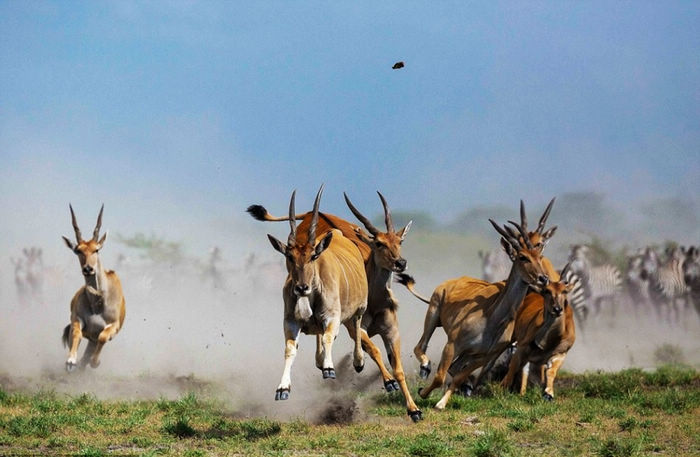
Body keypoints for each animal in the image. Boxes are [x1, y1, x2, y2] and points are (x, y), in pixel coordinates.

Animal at [60, 205, 125, 372]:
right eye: (78, 250)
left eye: (96, 249)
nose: (88, 269)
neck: (98, 301)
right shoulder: (77, 319)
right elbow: (76, 333)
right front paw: (71, 361)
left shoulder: (113, 326)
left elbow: (103, 337)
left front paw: (95, 362)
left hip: (94, 338)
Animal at [247, 191, 422, 420]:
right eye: (379, 243)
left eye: (400, 241)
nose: (401, 263)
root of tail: (313, 213)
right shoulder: (350, 325)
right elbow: (373, 349)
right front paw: (388, 381)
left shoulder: (391, 331)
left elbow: (398, 368)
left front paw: (414, 409)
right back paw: (325, 361)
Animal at [500, 264, 576, 400]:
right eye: (547, 291)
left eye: (564, 291)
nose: (557, 309)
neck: (548, 342)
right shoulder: (521, 347)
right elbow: (512, 367)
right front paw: (503, 389)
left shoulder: (560, 354)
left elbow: (550, 372)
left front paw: (548, 394)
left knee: (524, 369)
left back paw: (522, 393)